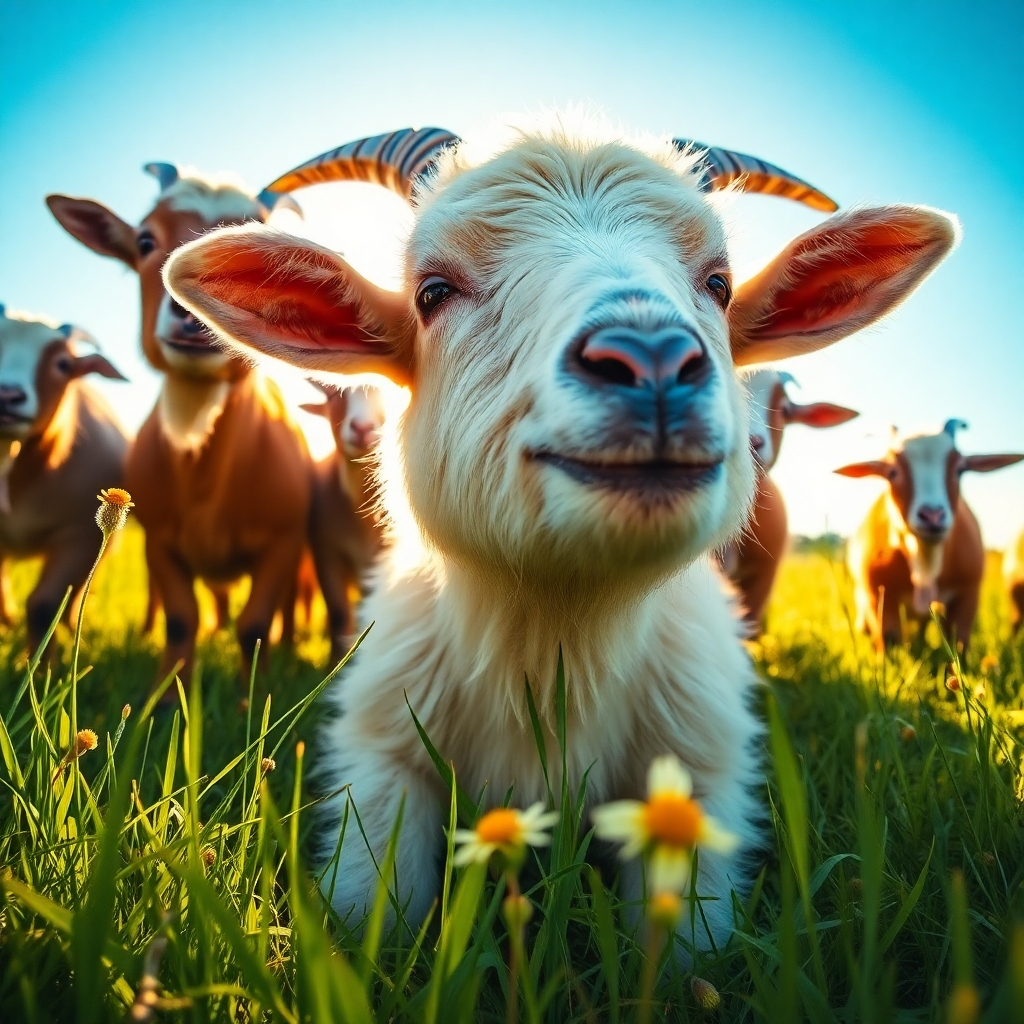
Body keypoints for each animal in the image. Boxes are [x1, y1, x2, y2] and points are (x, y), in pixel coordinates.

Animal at [47, 166, 311, 682]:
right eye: (145, 240)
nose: (190, 311)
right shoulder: (161, 543)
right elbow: (180, 621)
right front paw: (168, 695)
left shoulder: (283, 543)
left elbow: (254, 627)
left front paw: (253, 692)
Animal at [837, 420, 1023, 651]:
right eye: (892, 472)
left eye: (960, 470)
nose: (932, 515)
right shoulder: (878, 596)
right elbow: (889, 641)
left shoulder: (968, 593)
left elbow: (960, 643)